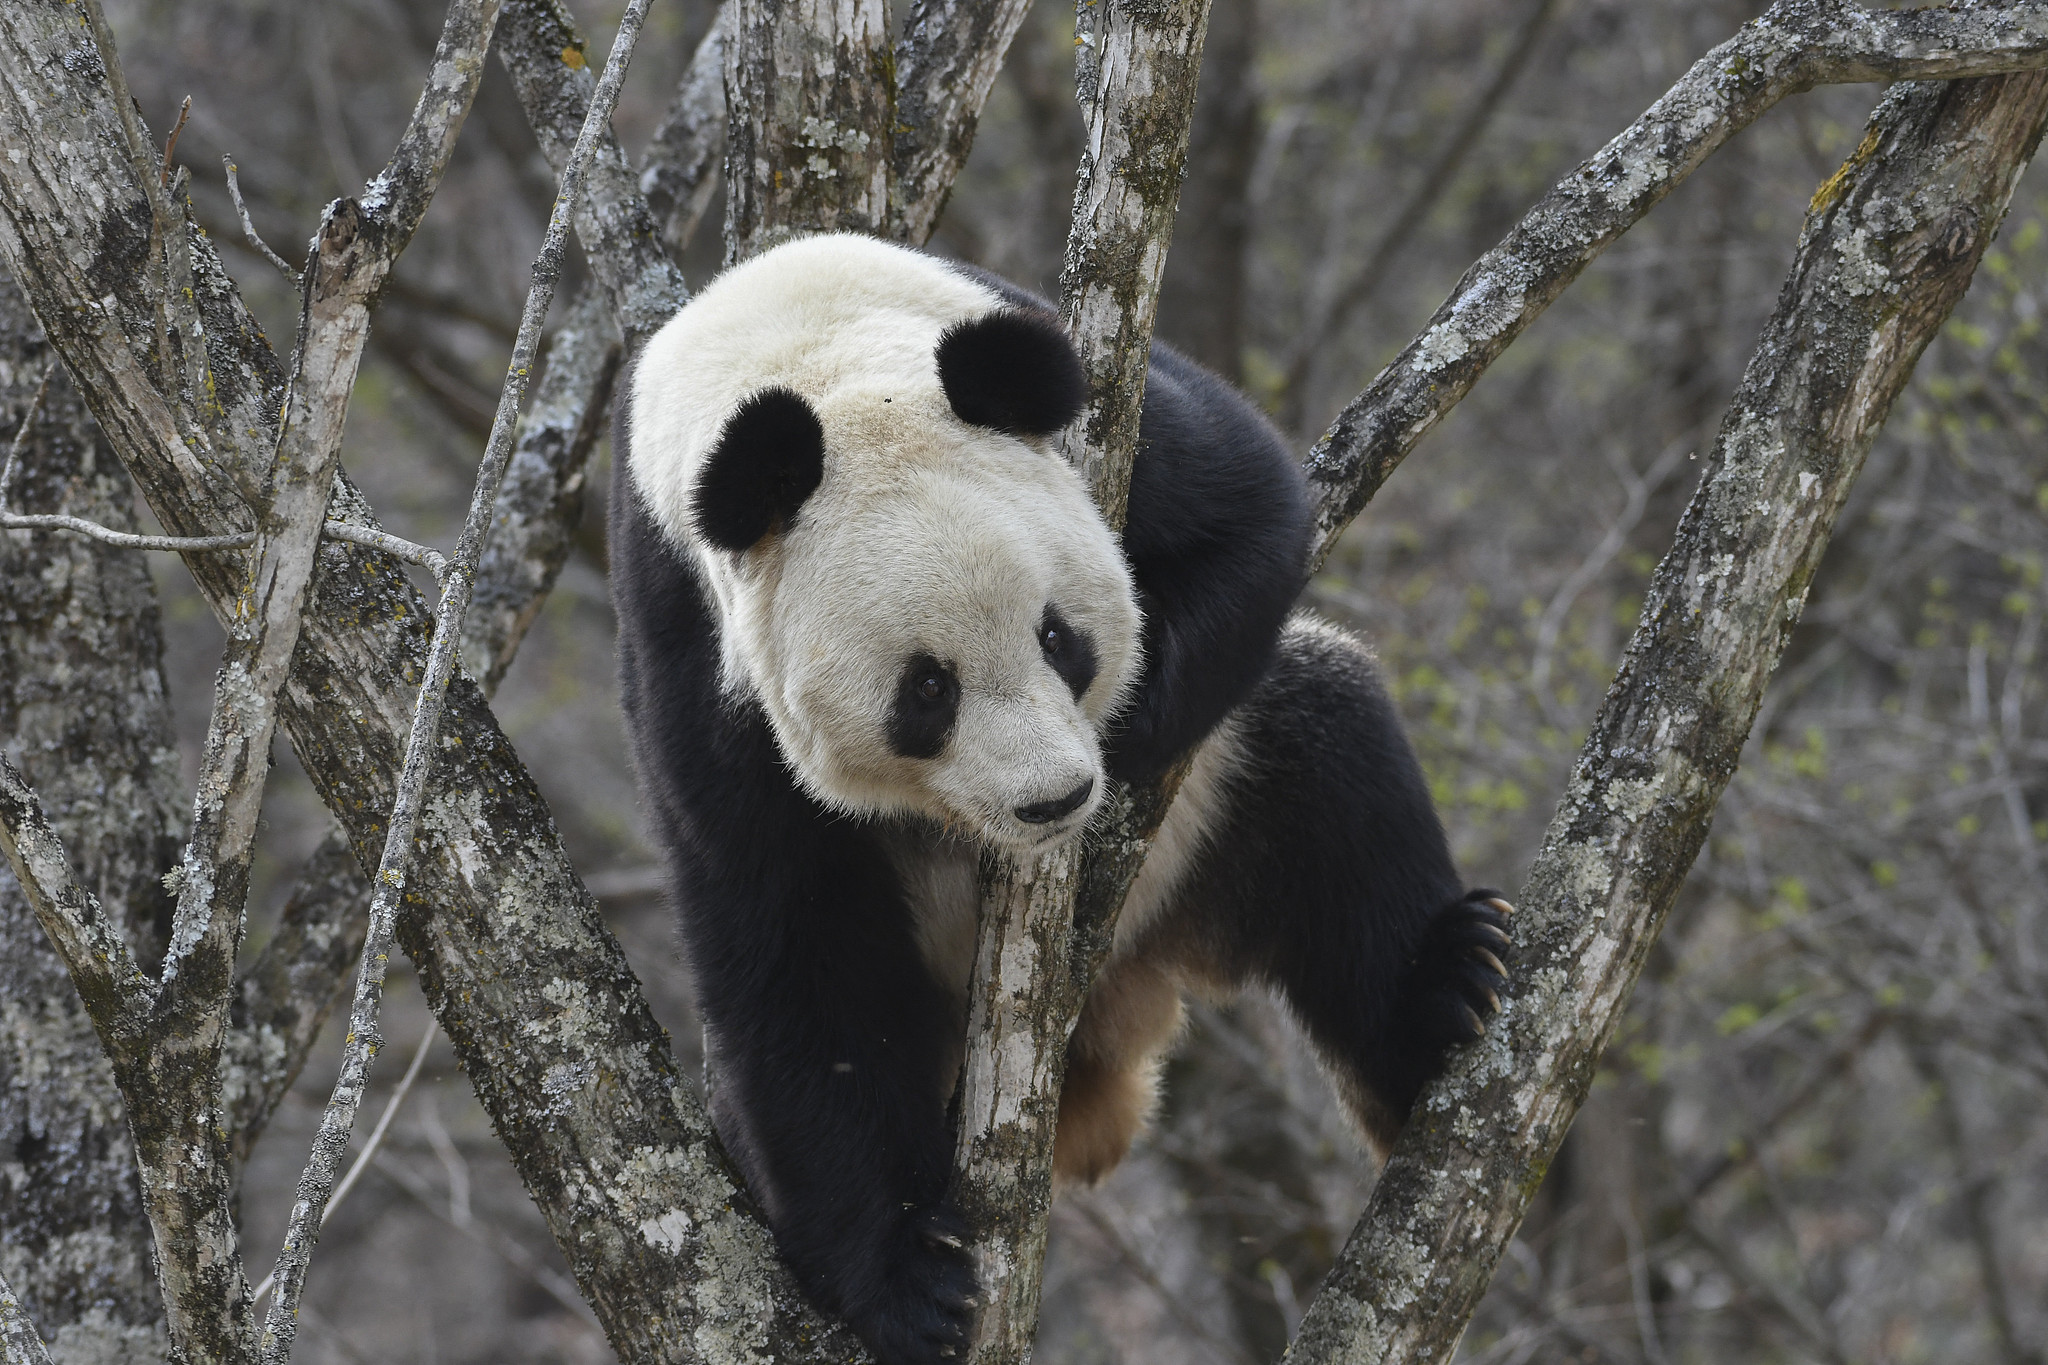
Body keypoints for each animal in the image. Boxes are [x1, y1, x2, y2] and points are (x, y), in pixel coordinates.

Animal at [610, 233, 1511, 1365]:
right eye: (926, 691)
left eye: (1057, 635)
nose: (1057, 799)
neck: (800, 352)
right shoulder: (692, 644)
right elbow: (796, 948)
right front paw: (907, 1281)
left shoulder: (1104, 426)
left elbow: (1251, 514)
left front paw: (1137, 719)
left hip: (1218, 817)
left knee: (1335, 776)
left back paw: (1445, 992)